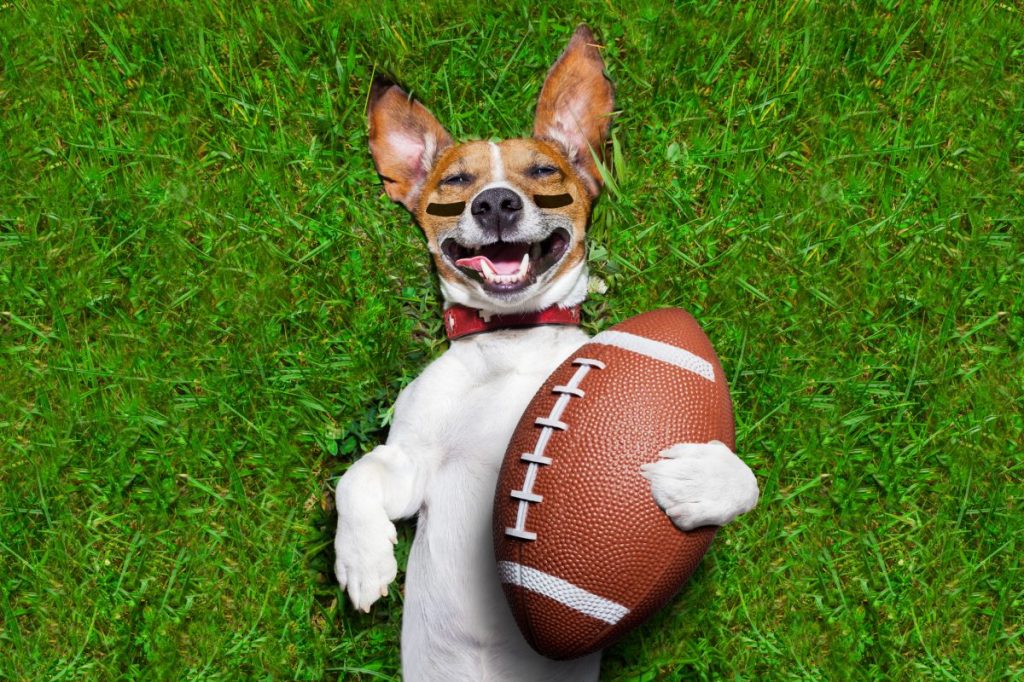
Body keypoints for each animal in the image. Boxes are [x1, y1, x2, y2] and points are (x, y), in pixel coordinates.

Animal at [335, 25, 761, 679]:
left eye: (542, 170)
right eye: (455, 182)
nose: (496, 203)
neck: (513, 340)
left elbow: (749, 482)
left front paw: (700, 479)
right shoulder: (410, 464)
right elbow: (352, 480)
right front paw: (362, 561)